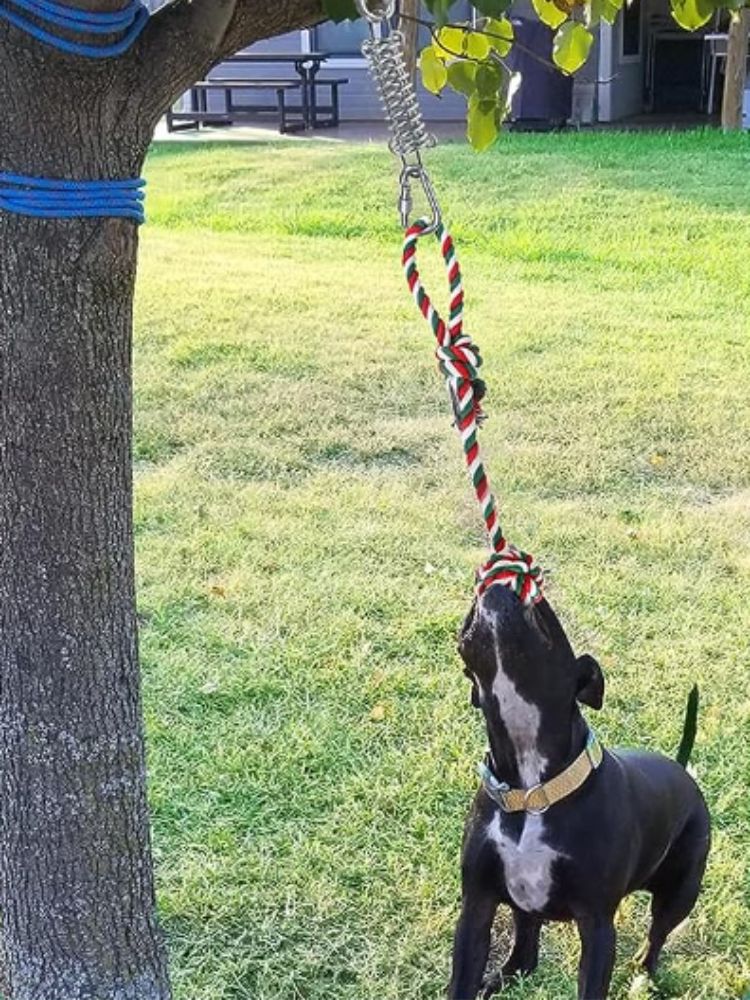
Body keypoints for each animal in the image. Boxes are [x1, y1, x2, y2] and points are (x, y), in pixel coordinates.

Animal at [450, 584, 712, 1000]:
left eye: (544, 607)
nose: (497, 585)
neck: (533, 789)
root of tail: (681, 769)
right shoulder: (476, 907)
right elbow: (461, 981)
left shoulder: (598, 925)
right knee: (526, 955)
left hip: (681, 892)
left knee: (656, 936)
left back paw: (643, 972)